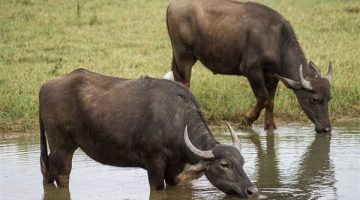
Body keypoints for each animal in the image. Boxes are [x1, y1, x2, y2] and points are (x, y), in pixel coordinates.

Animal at [39, 69, 258, 198]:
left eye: (242, 162)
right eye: (224, 164)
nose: (252, 190)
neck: (176, 122)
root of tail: (45, 86)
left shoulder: (174, 169)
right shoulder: (154, 164)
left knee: (47, 172)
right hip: (62, 146)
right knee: (62, 176)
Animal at [165, 0, 332, 134]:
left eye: (329, 98)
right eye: (314, 99)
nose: (326, 129)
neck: (277, 41)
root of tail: (173, 4)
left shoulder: (273, 76)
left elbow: (270, 101)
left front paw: (270, 127)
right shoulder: (252, 70)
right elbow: (263, 97)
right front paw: (246, 120)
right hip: (183, 55)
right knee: (184, 82)